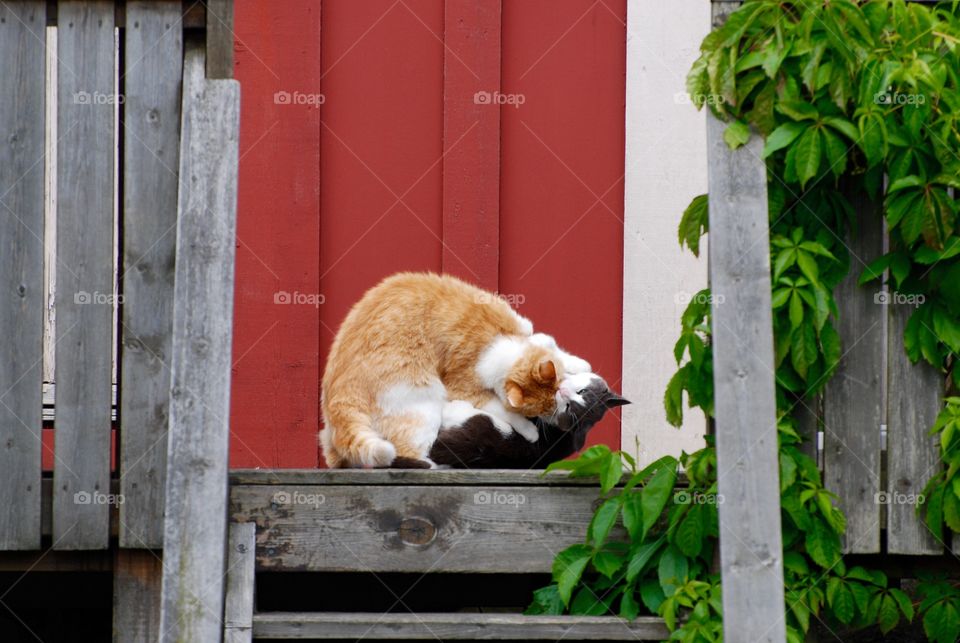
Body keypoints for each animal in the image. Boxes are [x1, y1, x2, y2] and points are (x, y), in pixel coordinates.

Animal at [322, 272, 588, 468]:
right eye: (543, 409)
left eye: (556, 397)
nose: (556, 412)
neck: (496, 343)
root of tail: (338, 391)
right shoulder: (464, 390)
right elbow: (503, 409)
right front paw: (530, 431)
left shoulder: (530, 333)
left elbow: (553, 347)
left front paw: (579, 364)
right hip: (423, 402)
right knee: (406, 453)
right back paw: (437, 465)